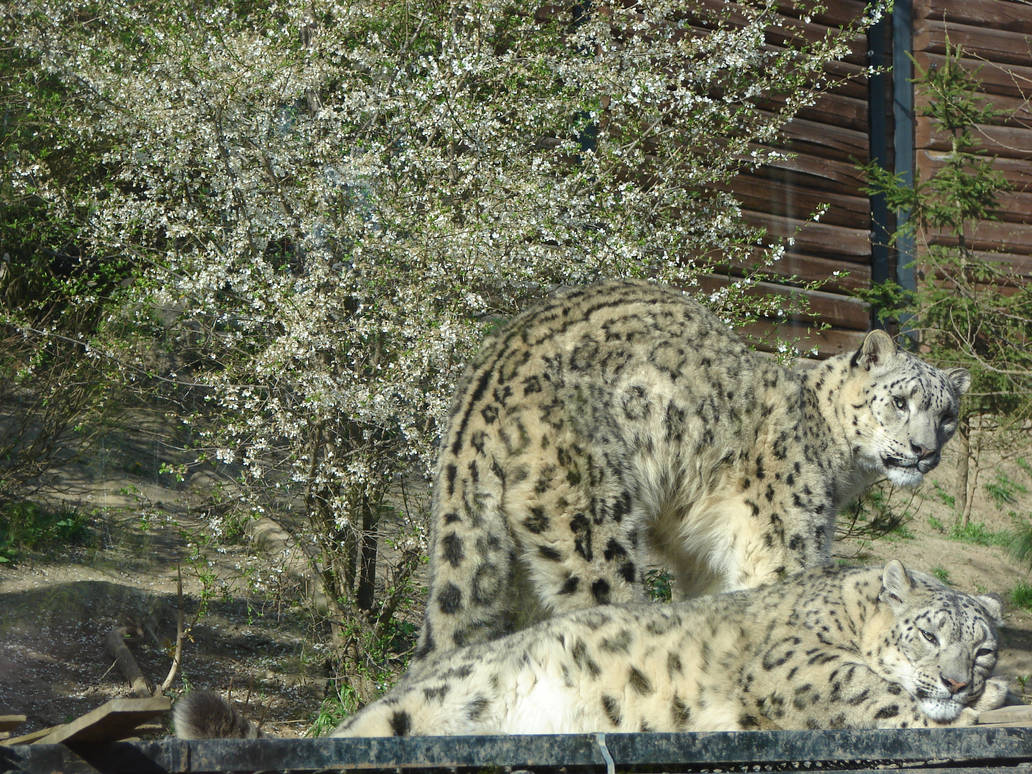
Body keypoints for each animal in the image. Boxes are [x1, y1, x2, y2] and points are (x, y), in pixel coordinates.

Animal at [413, 279, 970, 662]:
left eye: (947, 417)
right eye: (900, 401)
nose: (924, 450)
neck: (840, 470)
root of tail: (487, 378)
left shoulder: (708, 563)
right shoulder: (786, 546)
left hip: (517, 566)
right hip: (594, 529)